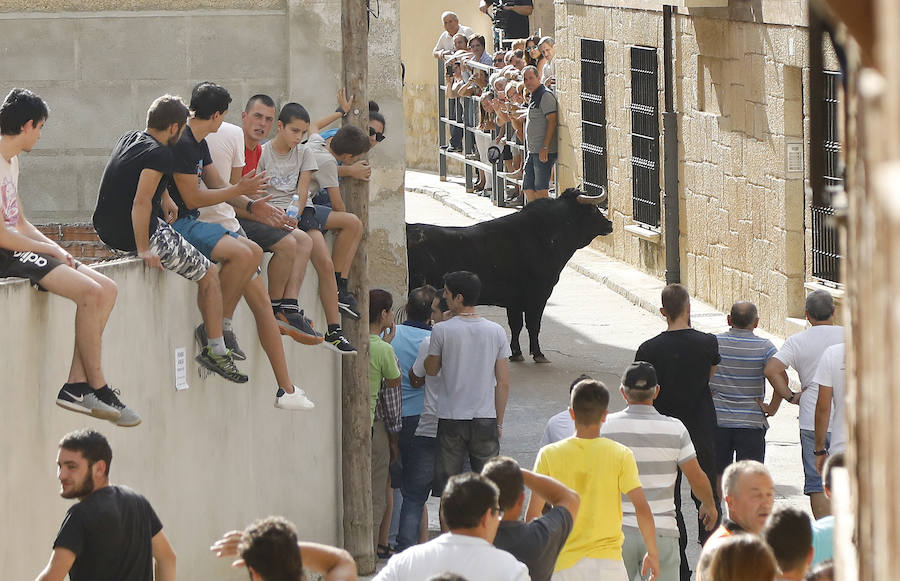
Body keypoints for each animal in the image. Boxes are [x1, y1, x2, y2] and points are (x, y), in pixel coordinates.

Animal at [408, 188, 612, 360]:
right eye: (592, 209)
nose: (609, 224)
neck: (544, 236)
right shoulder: (538, 295)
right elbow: (533, 324)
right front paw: (538, 353)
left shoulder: (514, 300)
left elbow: (516, 325)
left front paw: (516, 353)